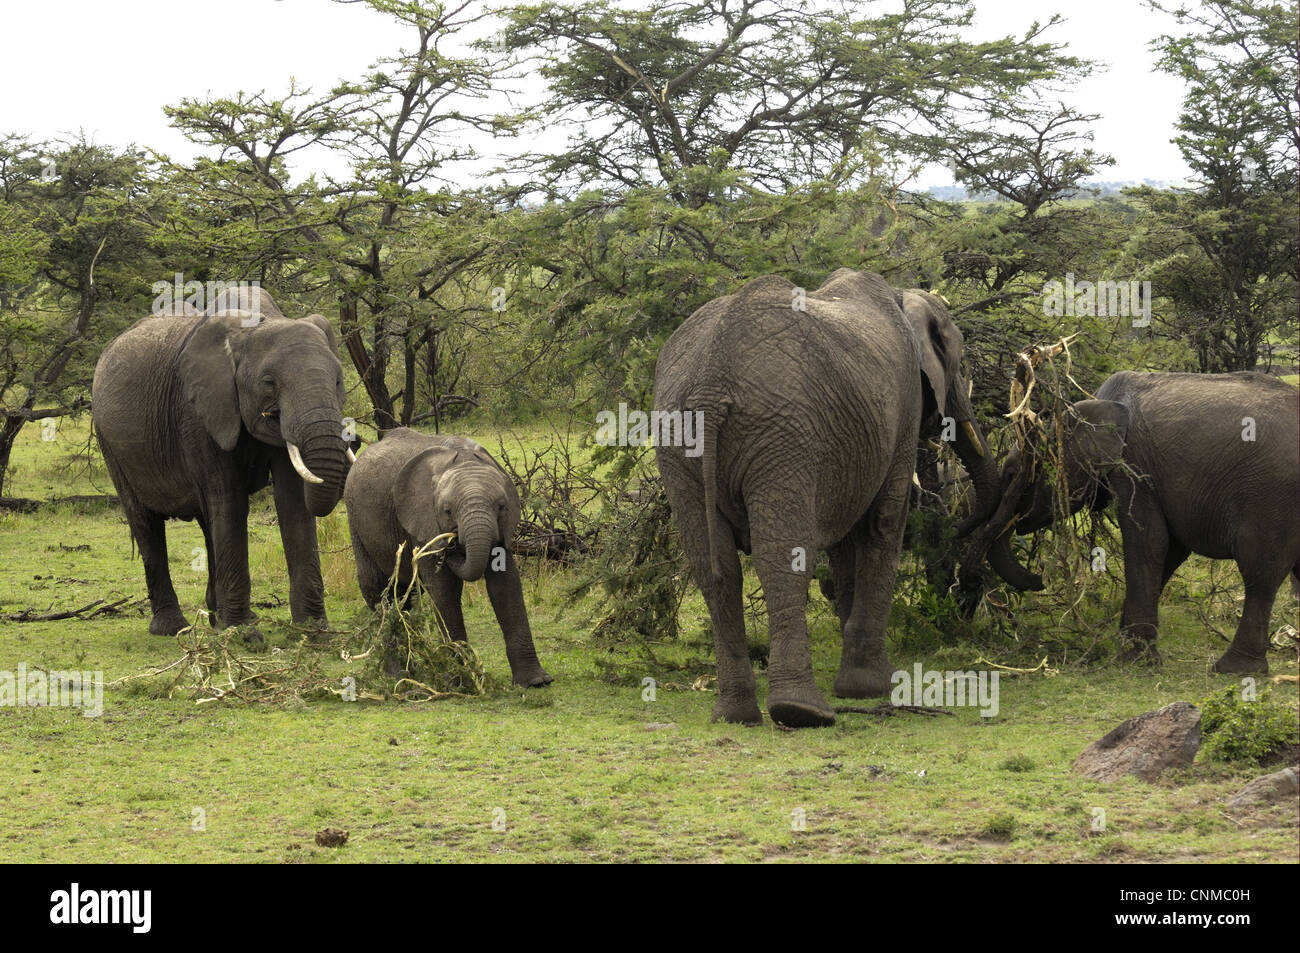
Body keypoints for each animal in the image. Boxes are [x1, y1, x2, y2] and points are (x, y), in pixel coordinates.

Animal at [92, 287, 352, 646]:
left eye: (339, 380)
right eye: (269, 382)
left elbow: (293, 502)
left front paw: (314, 632)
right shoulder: (197, 411)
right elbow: (229, 500)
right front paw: (244, 636)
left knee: (206, 521)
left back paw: (218, 618)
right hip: (111, 443)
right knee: (146, 521)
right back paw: (173, 628)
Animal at [343, 427, 553, 688]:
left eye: (502, 507)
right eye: (447, 510)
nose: (452, 543)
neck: (462, 457)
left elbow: (506, 584)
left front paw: (536, 682)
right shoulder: (422, 521)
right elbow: (444, 589)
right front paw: (459, 680)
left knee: (403, 597)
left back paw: (410, 671)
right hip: (356, 520)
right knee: (379, 591)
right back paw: (399, 676)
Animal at [654, 270, 999, 727]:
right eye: (958, 365)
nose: (957, 521)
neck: (901, 295)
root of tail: (712, 378)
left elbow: (844, 545)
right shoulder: (902, 406)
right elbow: (882, 524)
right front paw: (874, 685)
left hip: (678, 439)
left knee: (716, 569)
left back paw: (735, 714)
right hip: (782, 435)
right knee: (782, 557)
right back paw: (802, 712)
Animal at [976, 370, 1299, 673]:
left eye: (1013, 475)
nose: (1040, 579)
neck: (1090, 407)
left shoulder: (1135, 467)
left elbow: (1149, 542)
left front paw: (1135, 660)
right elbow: (1170, 551)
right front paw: (1128, 642)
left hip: (1271, 496)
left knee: (1260, 571)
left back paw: (1234, 669)